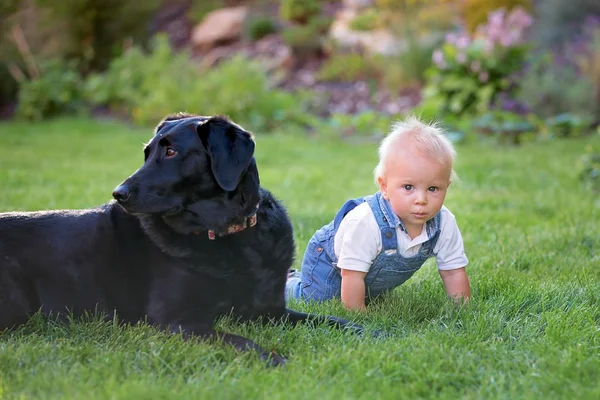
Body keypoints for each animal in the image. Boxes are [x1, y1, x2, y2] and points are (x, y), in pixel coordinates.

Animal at [0, 112, 364, 366]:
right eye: (147, 154)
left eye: (172, 152)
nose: (118, 193)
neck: (228, 236)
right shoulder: (176, 320)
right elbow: (239, 340)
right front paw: (273, 358)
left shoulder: (269, 310)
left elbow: (327, 320)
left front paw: (367, 331)